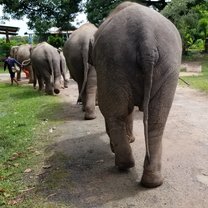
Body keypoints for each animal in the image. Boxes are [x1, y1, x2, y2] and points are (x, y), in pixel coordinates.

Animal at [91, 0, 182, 188]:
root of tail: (146, 38)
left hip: (112, 63)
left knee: (114, 114)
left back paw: (124, 165)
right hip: (168, 65)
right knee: (156, 121)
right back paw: (152, 181)